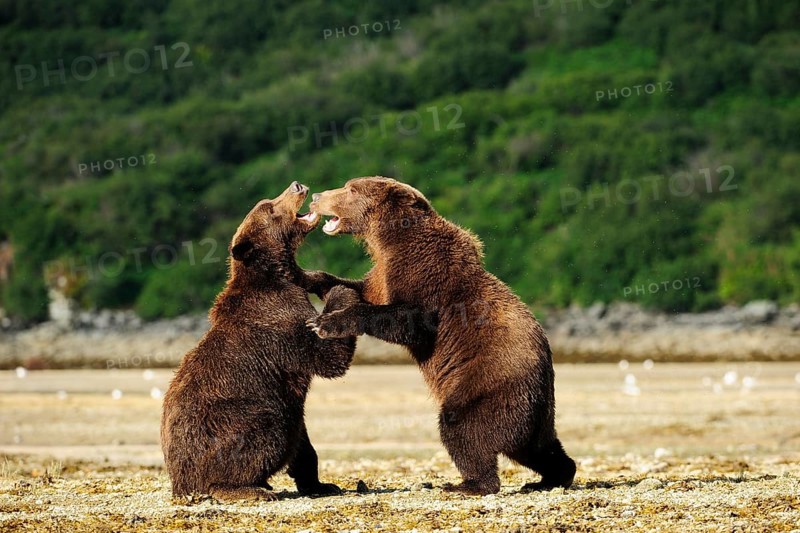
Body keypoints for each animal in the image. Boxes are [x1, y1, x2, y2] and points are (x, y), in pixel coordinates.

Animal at [160, 181, 360, 502]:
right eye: (270, 207)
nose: (296, 185)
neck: (275, 273)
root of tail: (180, 482)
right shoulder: (279, 324)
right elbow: (327, 357)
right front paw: (338, 293)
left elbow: (304, 444)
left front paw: (320, 483)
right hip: (234, 418)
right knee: (266, 431)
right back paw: (249, 488)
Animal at [300, 177, 576, 496]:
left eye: (351, 189)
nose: (317, 196)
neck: (388, 240)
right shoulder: (382, 274)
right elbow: (356, 287)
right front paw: (305, 275)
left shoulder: (425, 275)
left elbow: (409, 321)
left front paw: (324, 322)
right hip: (536, 417)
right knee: (538, 449)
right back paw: (551, 477)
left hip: (490, 386)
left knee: (461, 426)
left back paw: (468, 483)